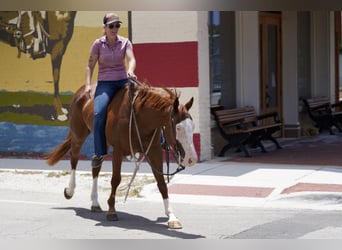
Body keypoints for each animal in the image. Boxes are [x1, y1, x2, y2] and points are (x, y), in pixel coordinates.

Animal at [46, 81, 199, 229]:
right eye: (178, 128)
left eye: (193, 126)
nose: (191, 159)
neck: (140, 117)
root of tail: (83, 89)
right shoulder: (118, 150)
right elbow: (115, 179)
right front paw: (111, 210)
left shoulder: (154, 150)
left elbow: (161, 183)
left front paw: (172, 217)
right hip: (79, 134)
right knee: (74, 159)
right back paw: (70, 191)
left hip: (102, 142)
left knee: (96, 167)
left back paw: (95, 203)